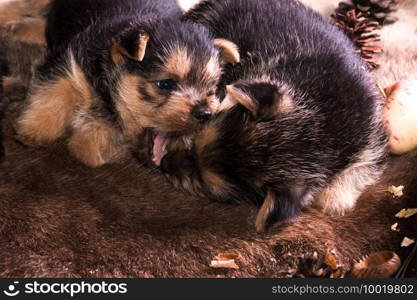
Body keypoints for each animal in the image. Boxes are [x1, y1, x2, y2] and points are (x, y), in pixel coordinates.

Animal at [14, 0, 239, 166]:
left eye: (211, 90)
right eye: (165, 84)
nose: (205, 113)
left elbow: (90, 147)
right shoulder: (69, 58)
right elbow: (55, 86)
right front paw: (35, 129)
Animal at [161, 0, 388, 232]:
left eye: (203, 184)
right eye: (197, 136)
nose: (163, 164)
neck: (321, 122)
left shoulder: (372, 139)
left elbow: (361, 167)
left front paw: (334, 197)